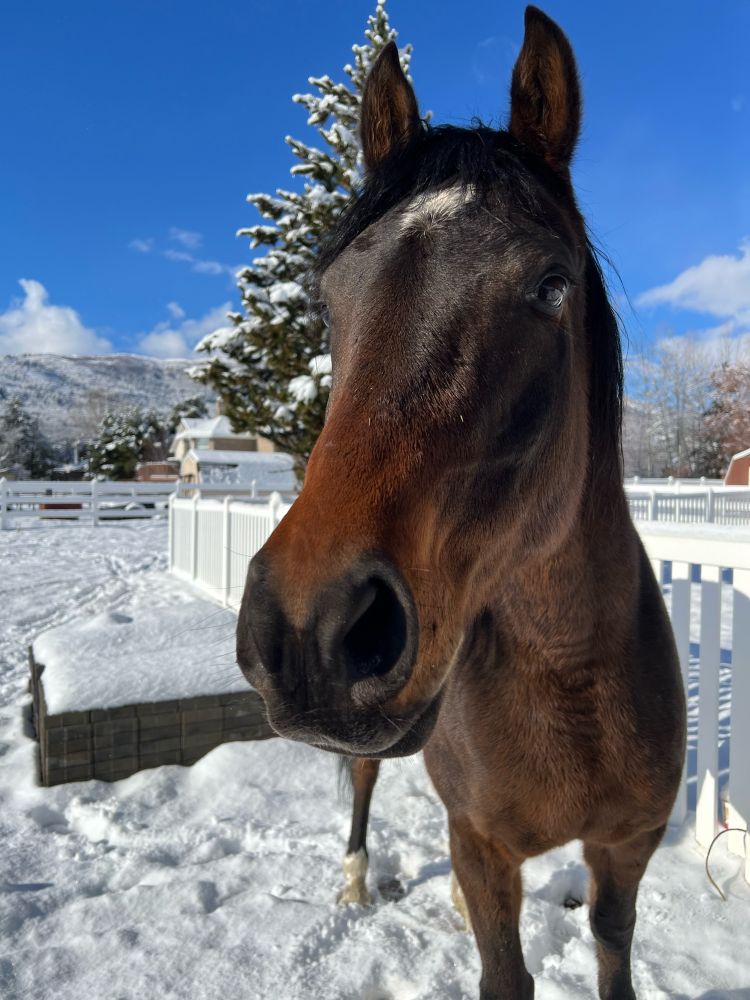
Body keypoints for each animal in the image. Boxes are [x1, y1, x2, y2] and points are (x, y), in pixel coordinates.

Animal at [237, 7, 686, 998]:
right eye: (328, 299)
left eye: (551, 284)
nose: (313, 628)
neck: (567, 670)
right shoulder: (482, 849)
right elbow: (501, 973)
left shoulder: (626, 851)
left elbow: (613, 950)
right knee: (364, 784)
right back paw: (356, 881)